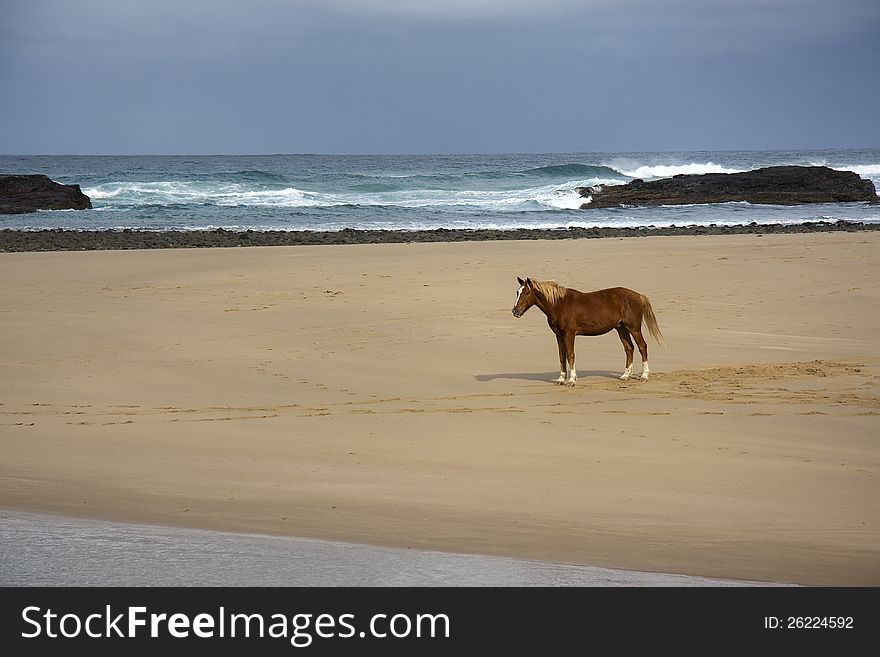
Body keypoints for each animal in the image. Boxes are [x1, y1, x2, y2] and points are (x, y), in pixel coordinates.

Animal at [512, 276, 664, 384]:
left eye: (526, 292)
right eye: (517, 292)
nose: (515, 311)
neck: (559, 304)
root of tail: (638, 295)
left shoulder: (569, 334)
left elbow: (570, 354)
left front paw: (571, 380)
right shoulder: (558, 335)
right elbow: (561, 355)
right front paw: (561, 379)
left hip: (634, 328)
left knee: (642, 346)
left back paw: (644, 375)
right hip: (621, 328)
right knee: (629, 348)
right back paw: (625, 375)